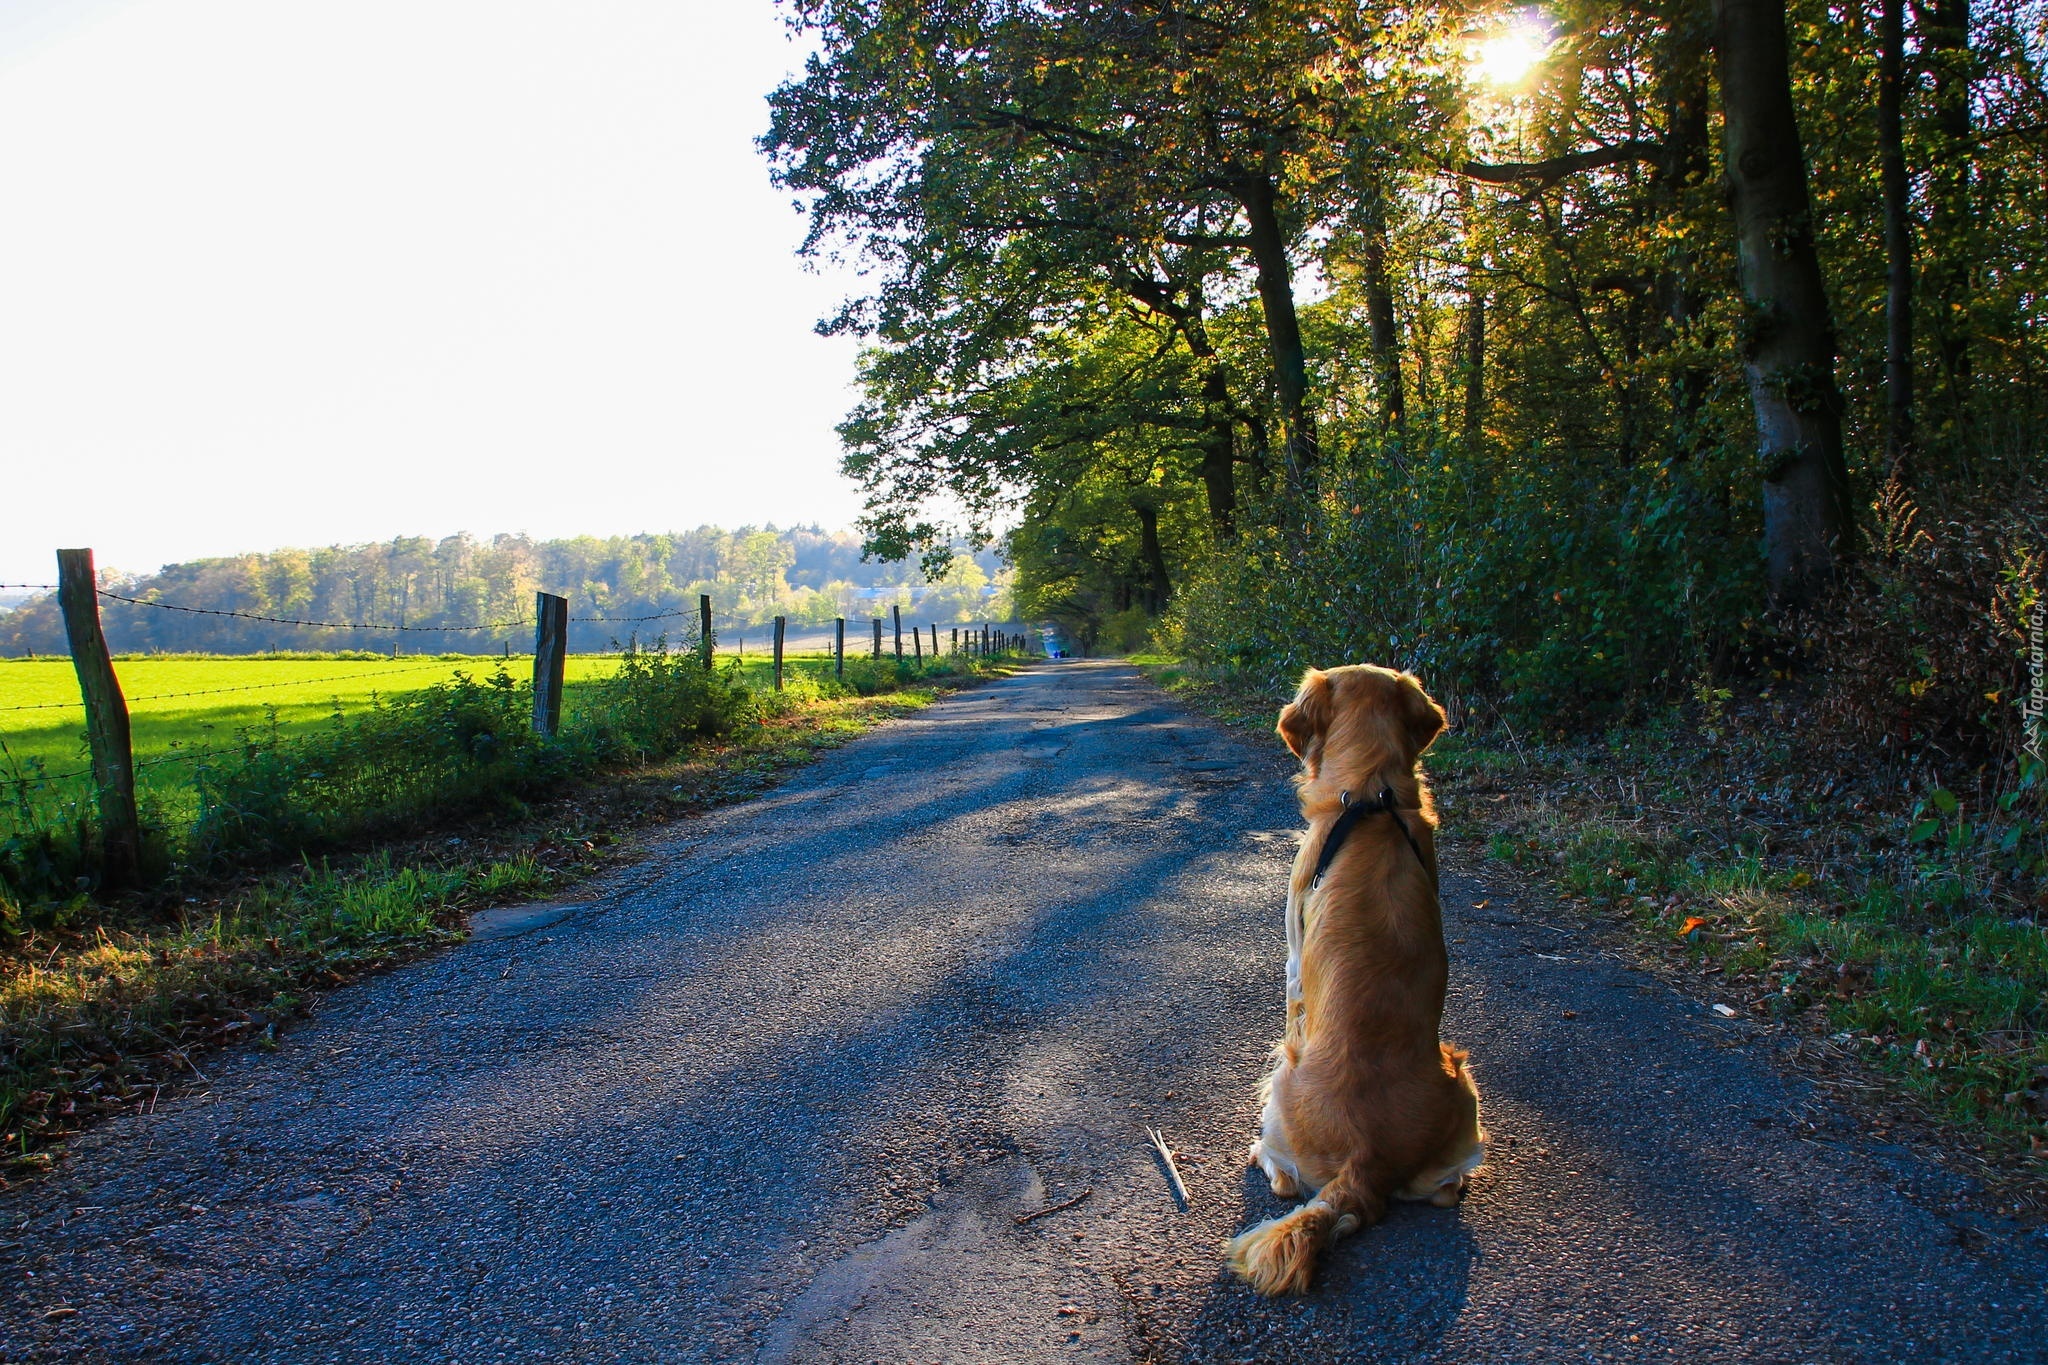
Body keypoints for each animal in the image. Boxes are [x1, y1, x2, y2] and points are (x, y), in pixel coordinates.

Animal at [1220, 667, 1482, 1301]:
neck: (1371, 795)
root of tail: (1367, 1162)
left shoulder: (1293, 944)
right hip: (1465, 1088)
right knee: (1444, 1190)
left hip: (1283, 1078)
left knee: (1286, 1184)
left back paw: (1259, 1155)